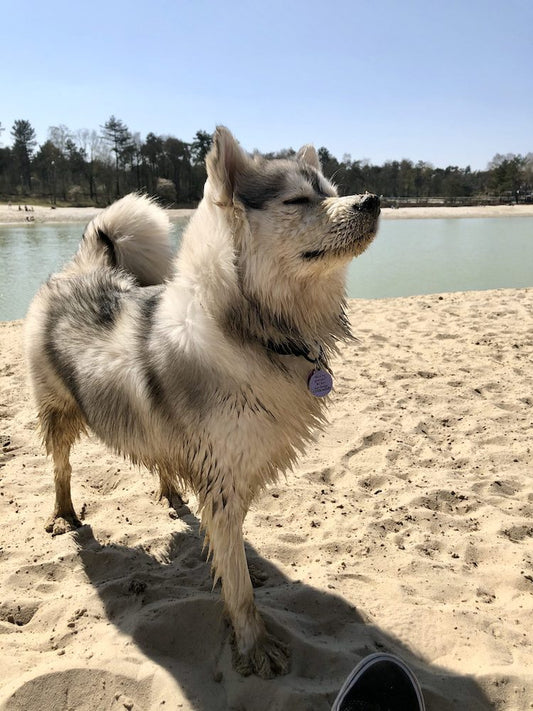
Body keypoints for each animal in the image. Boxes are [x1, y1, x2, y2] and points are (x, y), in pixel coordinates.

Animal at [26, 128, 378, 680]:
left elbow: (232, 554)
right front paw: (253, 645)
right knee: (60, 465)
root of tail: (84, 268)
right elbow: (237, 583)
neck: (252, 330)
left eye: (331, 191)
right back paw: (64, 513)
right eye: (298, 201)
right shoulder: (225, 475)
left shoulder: (235, 466)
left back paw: (171, 491)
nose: (373, 201)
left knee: (161, 459)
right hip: (59, 410)